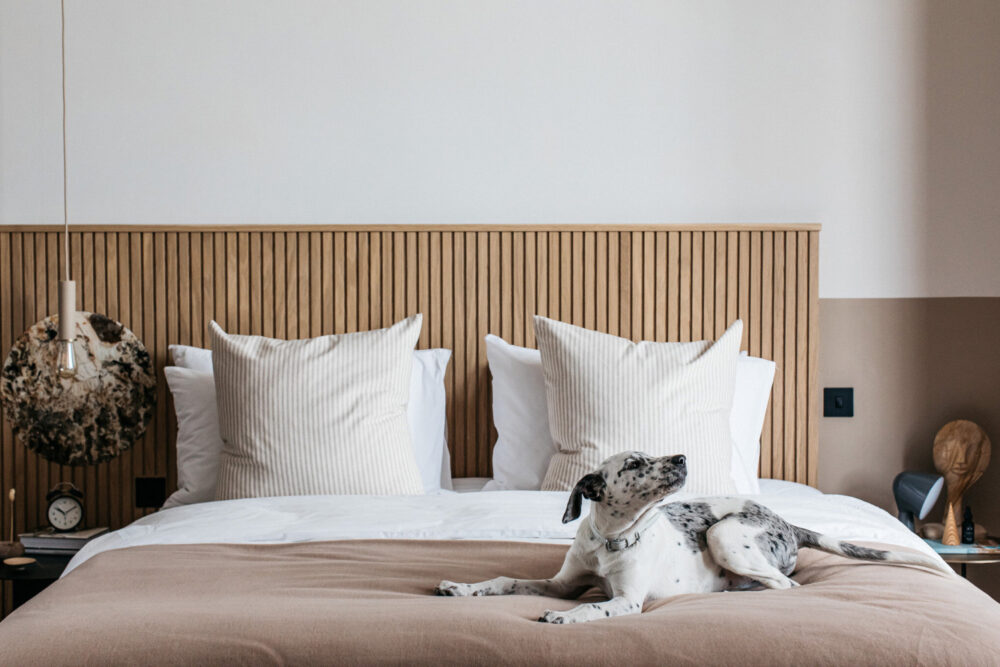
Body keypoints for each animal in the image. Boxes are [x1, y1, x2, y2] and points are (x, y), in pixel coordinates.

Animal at [434, 452, 948, 624]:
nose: (681, 457)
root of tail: (786, 521)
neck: (610, 540)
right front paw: (462, 587)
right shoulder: (562, 584)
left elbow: (595, 607)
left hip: (724, 534)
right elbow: (504, 580)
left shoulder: (626, 600)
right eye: (634, 463)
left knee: (786, 586)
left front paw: (568, 618)